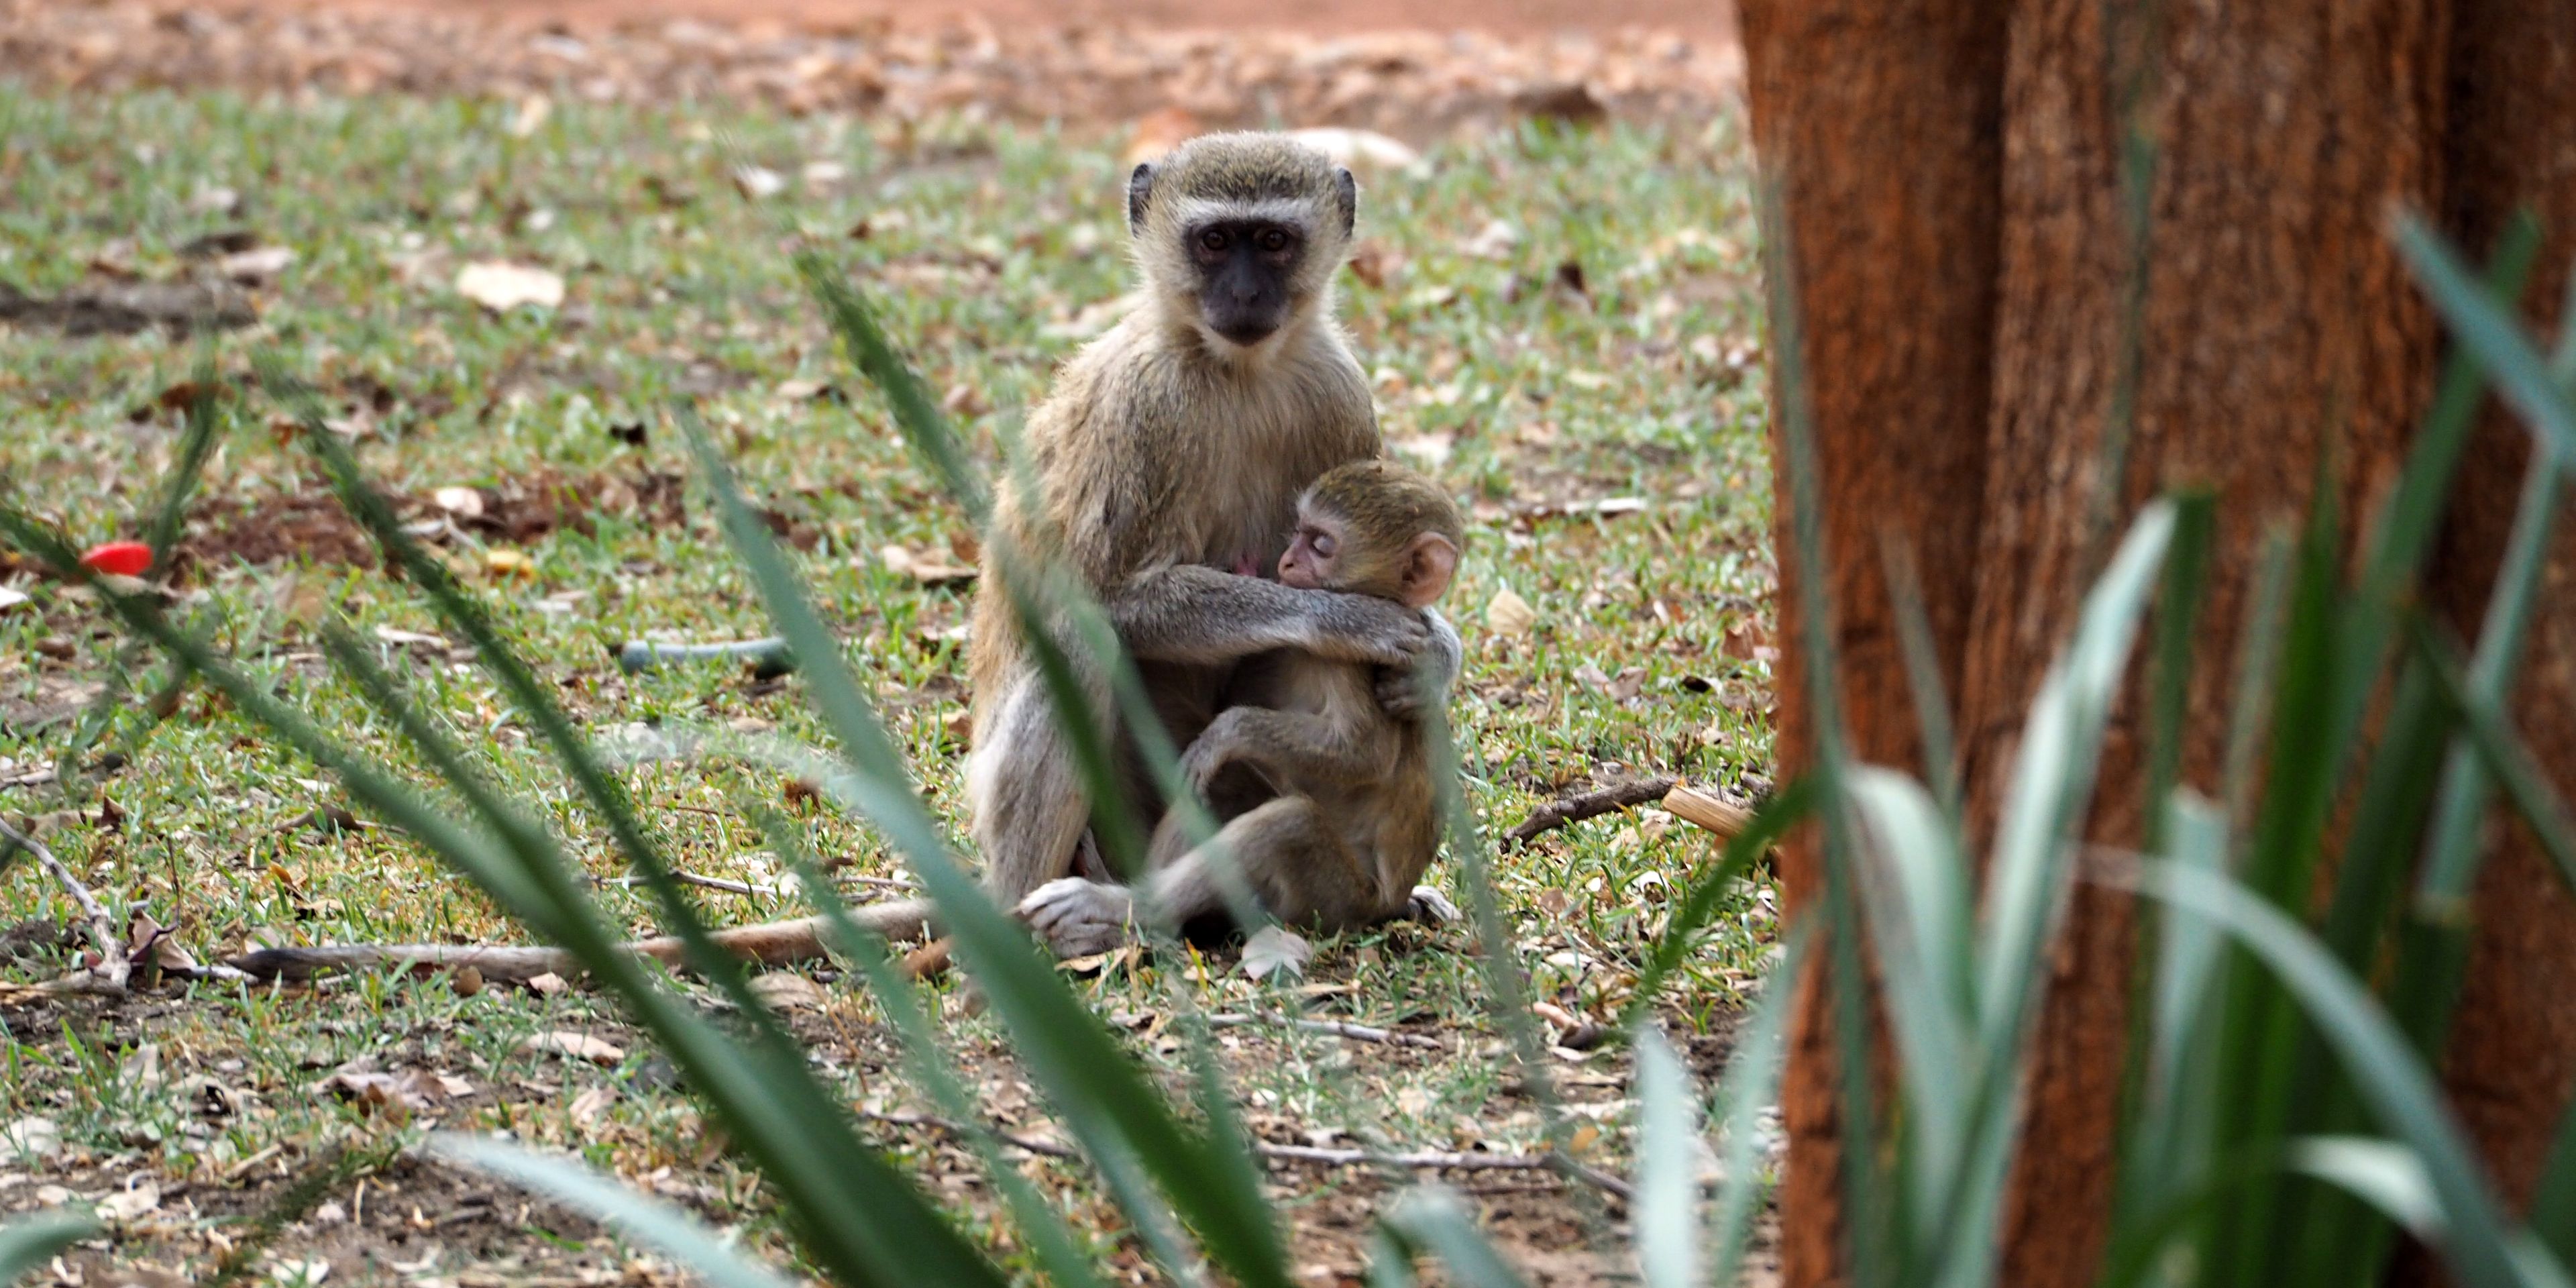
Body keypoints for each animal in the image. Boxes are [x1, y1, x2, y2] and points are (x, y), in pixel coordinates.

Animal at [1016, 459, 1466, 955]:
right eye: (1299, 531)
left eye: (1322, 544)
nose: (1285, 562)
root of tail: (1388, 905)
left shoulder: (1347, 662)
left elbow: (1364, 750)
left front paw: (1227, 732)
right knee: (1219, 786)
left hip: (1338, 901)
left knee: (1288, 827)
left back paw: (1128, 907)